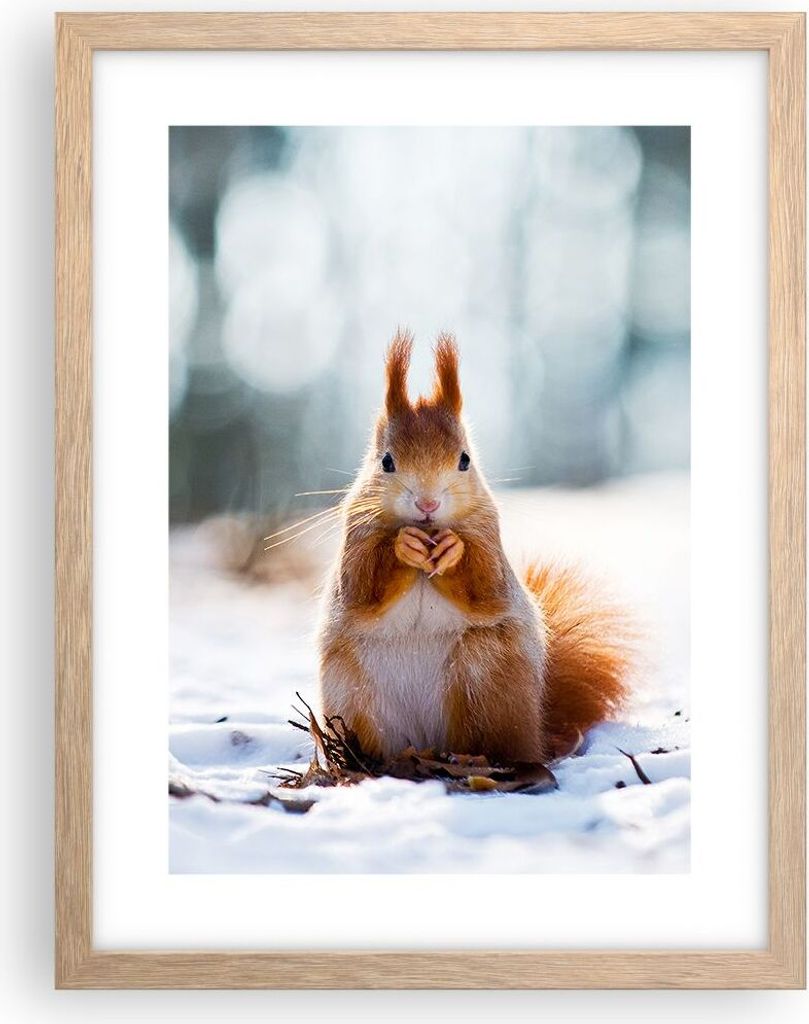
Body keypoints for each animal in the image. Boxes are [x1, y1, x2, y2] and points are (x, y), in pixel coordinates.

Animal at [317, 330, 632, 764]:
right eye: (386, 462)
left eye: (465, 460)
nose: (428, 504)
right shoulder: (355, 537)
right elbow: (362, 586)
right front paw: (403, 545)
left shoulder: (489, 537)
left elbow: (485, 584)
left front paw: (453, 550)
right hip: (352, 691)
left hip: (485, 673)